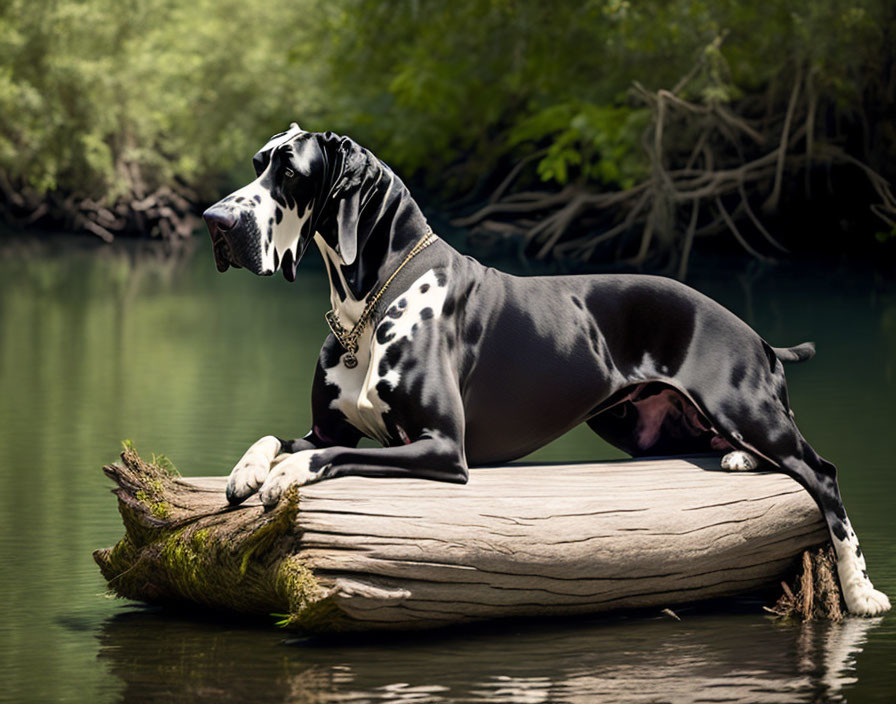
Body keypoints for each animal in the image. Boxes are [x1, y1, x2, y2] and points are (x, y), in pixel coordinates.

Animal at [205, 124, 888, 612]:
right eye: (258, 163)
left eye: (290, 172)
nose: (215, 221)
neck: (368, 310)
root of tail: (760, 338)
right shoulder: (329, 427)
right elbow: (279, 436)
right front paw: (247, 470)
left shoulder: (441, 447)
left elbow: (324, 456)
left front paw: (283, 475)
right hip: (645, 429)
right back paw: (742, 460)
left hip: (743, 407)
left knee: (823, 474)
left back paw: (862, 593)